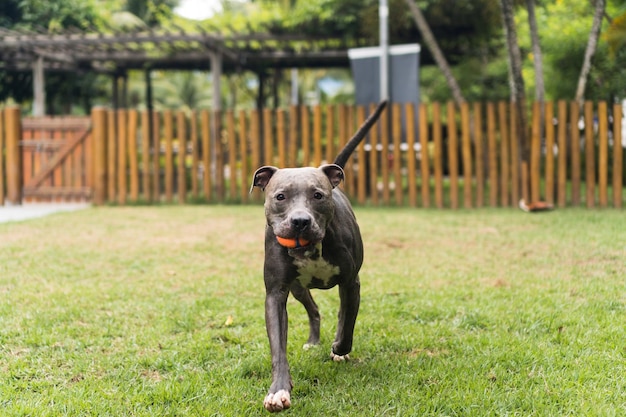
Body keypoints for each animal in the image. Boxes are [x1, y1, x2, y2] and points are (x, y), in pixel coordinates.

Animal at [250, 100, 386, 410]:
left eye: (318, 195)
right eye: (280, 196)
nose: (300, 221)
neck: (309, 245)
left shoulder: (351, 282)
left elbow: (347, 324)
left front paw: (339, 348)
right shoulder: (276, 292)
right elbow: (278, 346)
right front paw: (278, 390)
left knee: (341, 313)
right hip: (298, 288)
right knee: (313, 309)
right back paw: (313, 341)